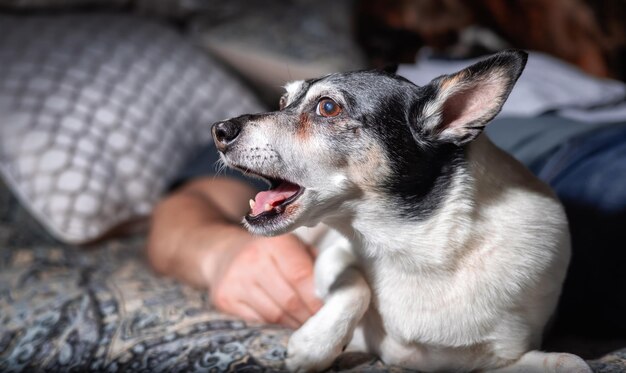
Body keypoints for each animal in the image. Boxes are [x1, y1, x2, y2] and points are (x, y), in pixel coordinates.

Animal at [211, 50, 588, 372]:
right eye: (282, 102)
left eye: (328, 107)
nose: (218, 129)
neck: (411, 248)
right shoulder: (333, 255)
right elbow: (356, 285)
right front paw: (314, 345)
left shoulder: (496, 357)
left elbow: (571, 362)